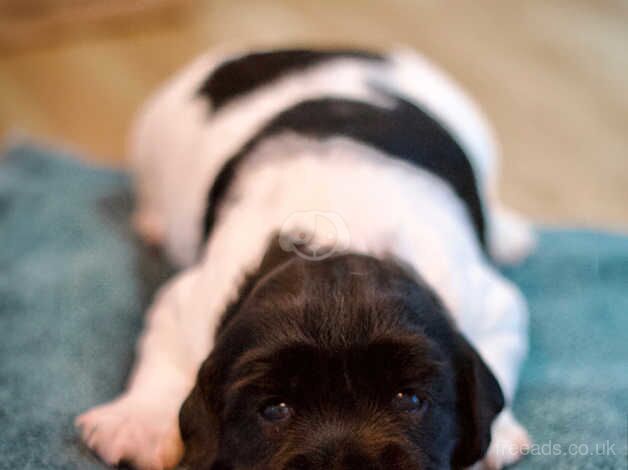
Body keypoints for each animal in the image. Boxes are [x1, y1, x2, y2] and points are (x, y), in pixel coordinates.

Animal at [73, 47, 536, 470]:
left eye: (409, 399)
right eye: (275, 409)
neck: (342, 241)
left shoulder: (490, 301)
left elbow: (496, 346)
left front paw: (499, 434)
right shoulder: (191, 300)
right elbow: (165, 352)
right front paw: (139, 423)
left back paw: (506, 233)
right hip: (152, 138)